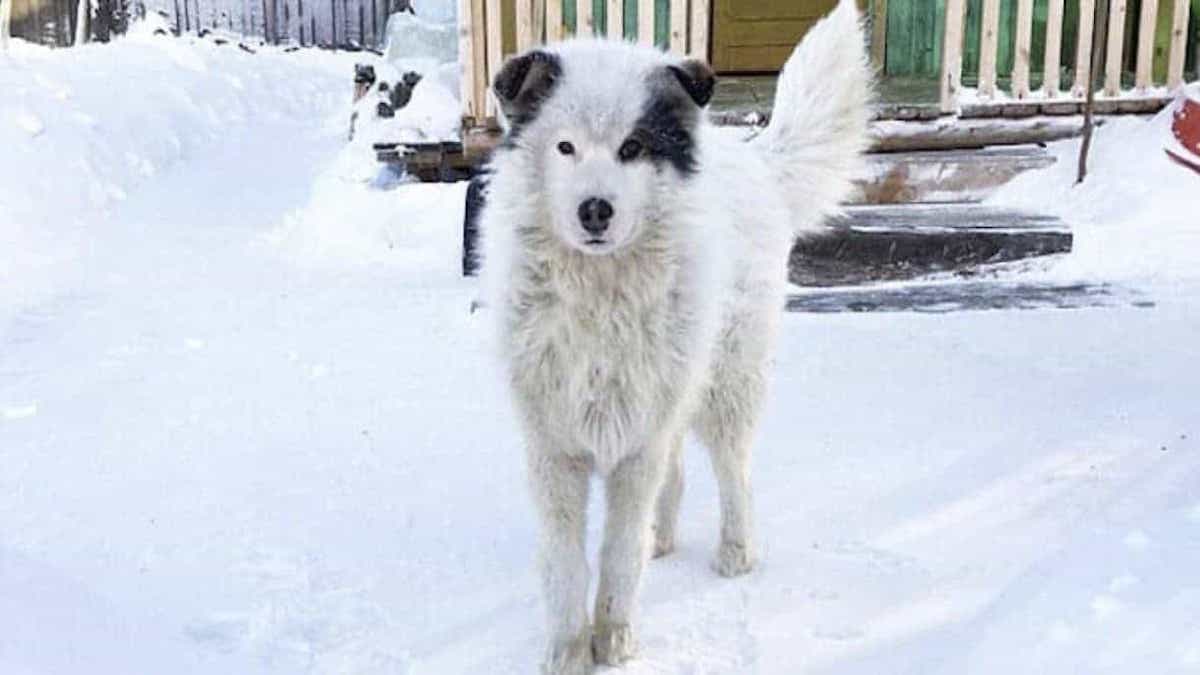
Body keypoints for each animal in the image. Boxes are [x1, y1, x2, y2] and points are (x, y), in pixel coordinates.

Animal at [477, 2, 873, 667]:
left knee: (733, 469)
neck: (599, 295)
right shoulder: (555, 446)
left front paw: (614, 642)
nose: (595, 210)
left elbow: (616, 556)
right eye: (565, 147)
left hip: (726, 380)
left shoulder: (635, 443)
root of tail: (755, 157)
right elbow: (564, 564)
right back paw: (661, 539)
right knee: (679, 471)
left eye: (632, 147)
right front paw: (567, 652)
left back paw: (736, 552)